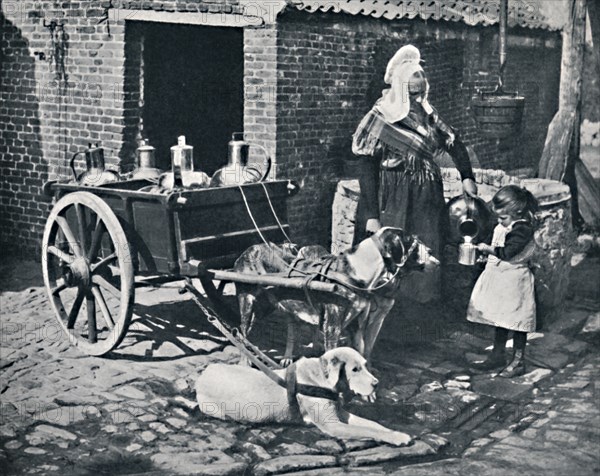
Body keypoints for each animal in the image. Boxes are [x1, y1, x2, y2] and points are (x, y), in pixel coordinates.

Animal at [197, 346, 412, 446]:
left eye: (366, 365)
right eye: (355, 369)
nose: (376, 383)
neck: (322, 378)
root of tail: (205, 372)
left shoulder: (341, 415)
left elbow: (374, 425)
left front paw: (396, 432)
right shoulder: (333, 425)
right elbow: (367, 430)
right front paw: (396, 438)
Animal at [231, 227, 436, 364]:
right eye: (412, 241)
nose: (432, 253)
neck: (355, 273)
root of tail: (248, 250)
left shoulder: (358, 325)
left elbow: (360, 353)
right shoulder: (332, 326)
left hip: (268, 306)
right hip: (248, 303)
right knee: (242, 334)